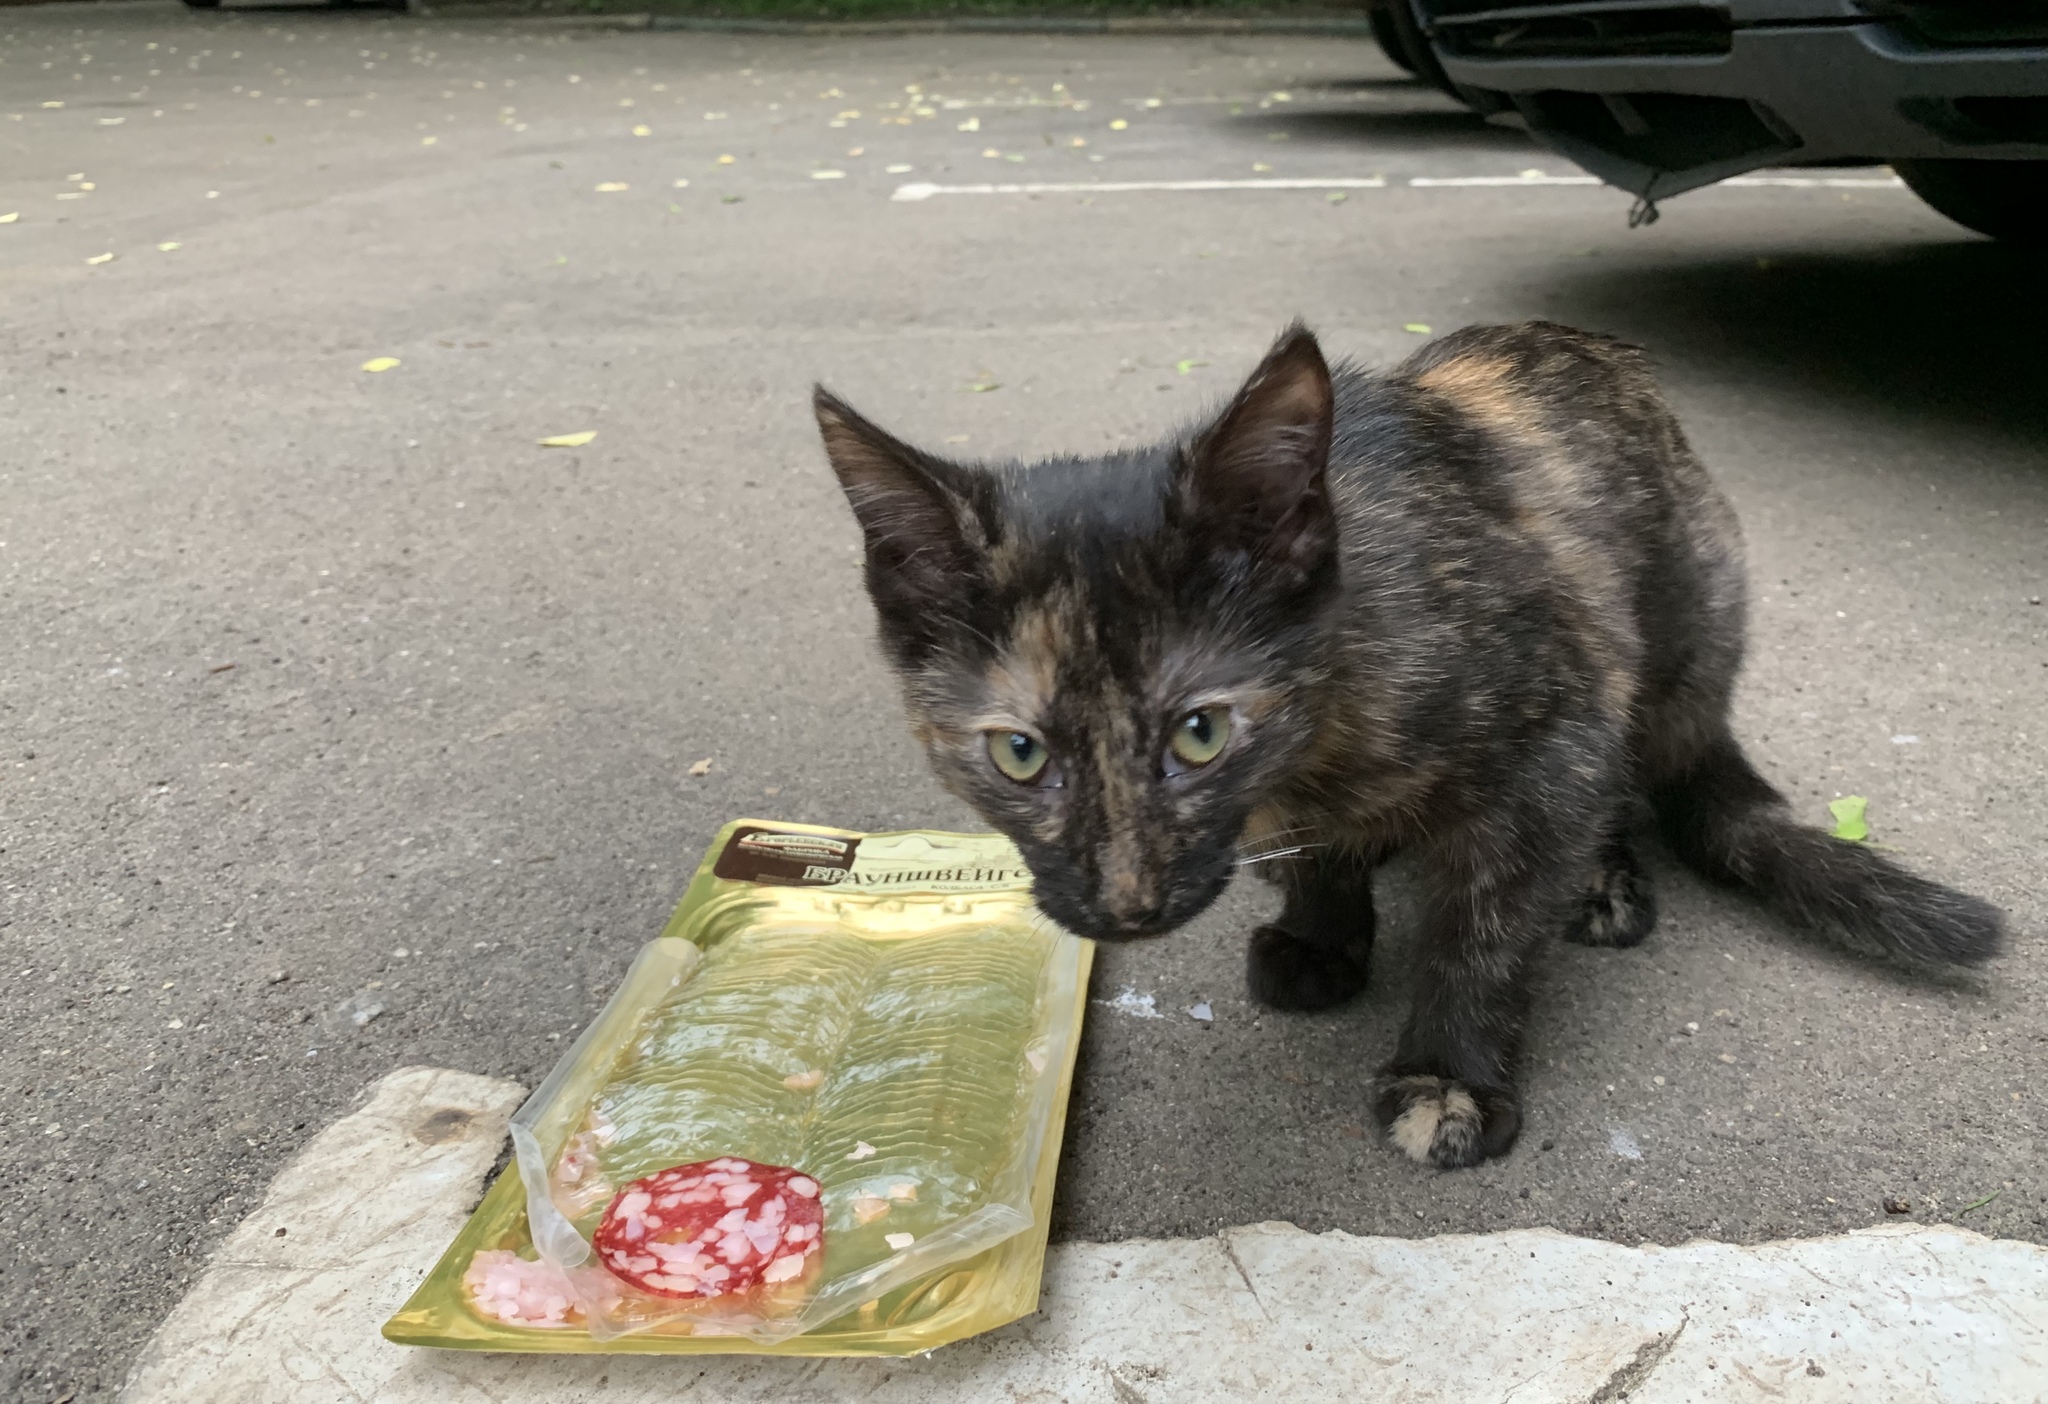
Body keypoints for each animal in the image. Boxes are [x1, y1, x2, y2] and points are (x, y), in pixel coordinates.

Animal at [811, 325, 1998, 1170]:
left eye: (1201, 732)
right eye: (1018, 754)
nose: (1127, 904)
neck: (1324, 733)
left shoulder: (1556, 735)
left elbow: (1485, 930)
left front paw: (1448, 1074)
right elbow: (1320, 858)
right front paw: (1321, 932)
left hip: (1674, 648)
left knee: (1620, 783)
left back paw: (1602, 879)